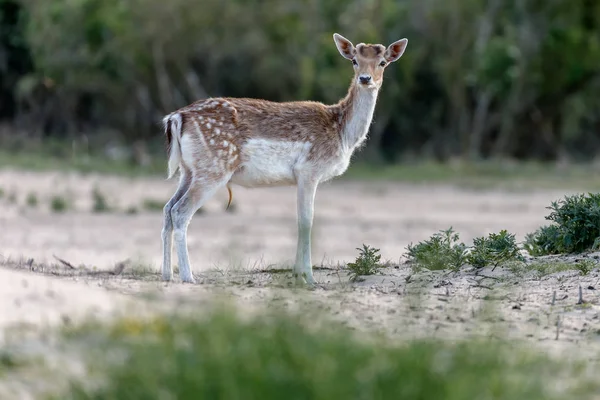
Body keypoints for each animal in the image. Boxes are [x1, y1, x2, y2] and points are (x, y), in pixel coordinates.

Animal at [162, 33, 410, 284]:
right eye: (354, 61)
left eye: (383, 62)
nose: (365, 78)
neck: (342, 134)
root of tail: (176, 118)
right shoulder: (309, 170)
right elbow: (306, 221)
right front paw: (308, 277)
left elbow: (301, 220)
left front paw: (297, 274)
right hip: (214, 169)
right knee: (180, 212)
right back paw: (188, 276)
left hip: (188, 170)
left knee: (167, 208)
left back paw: (167, 274)